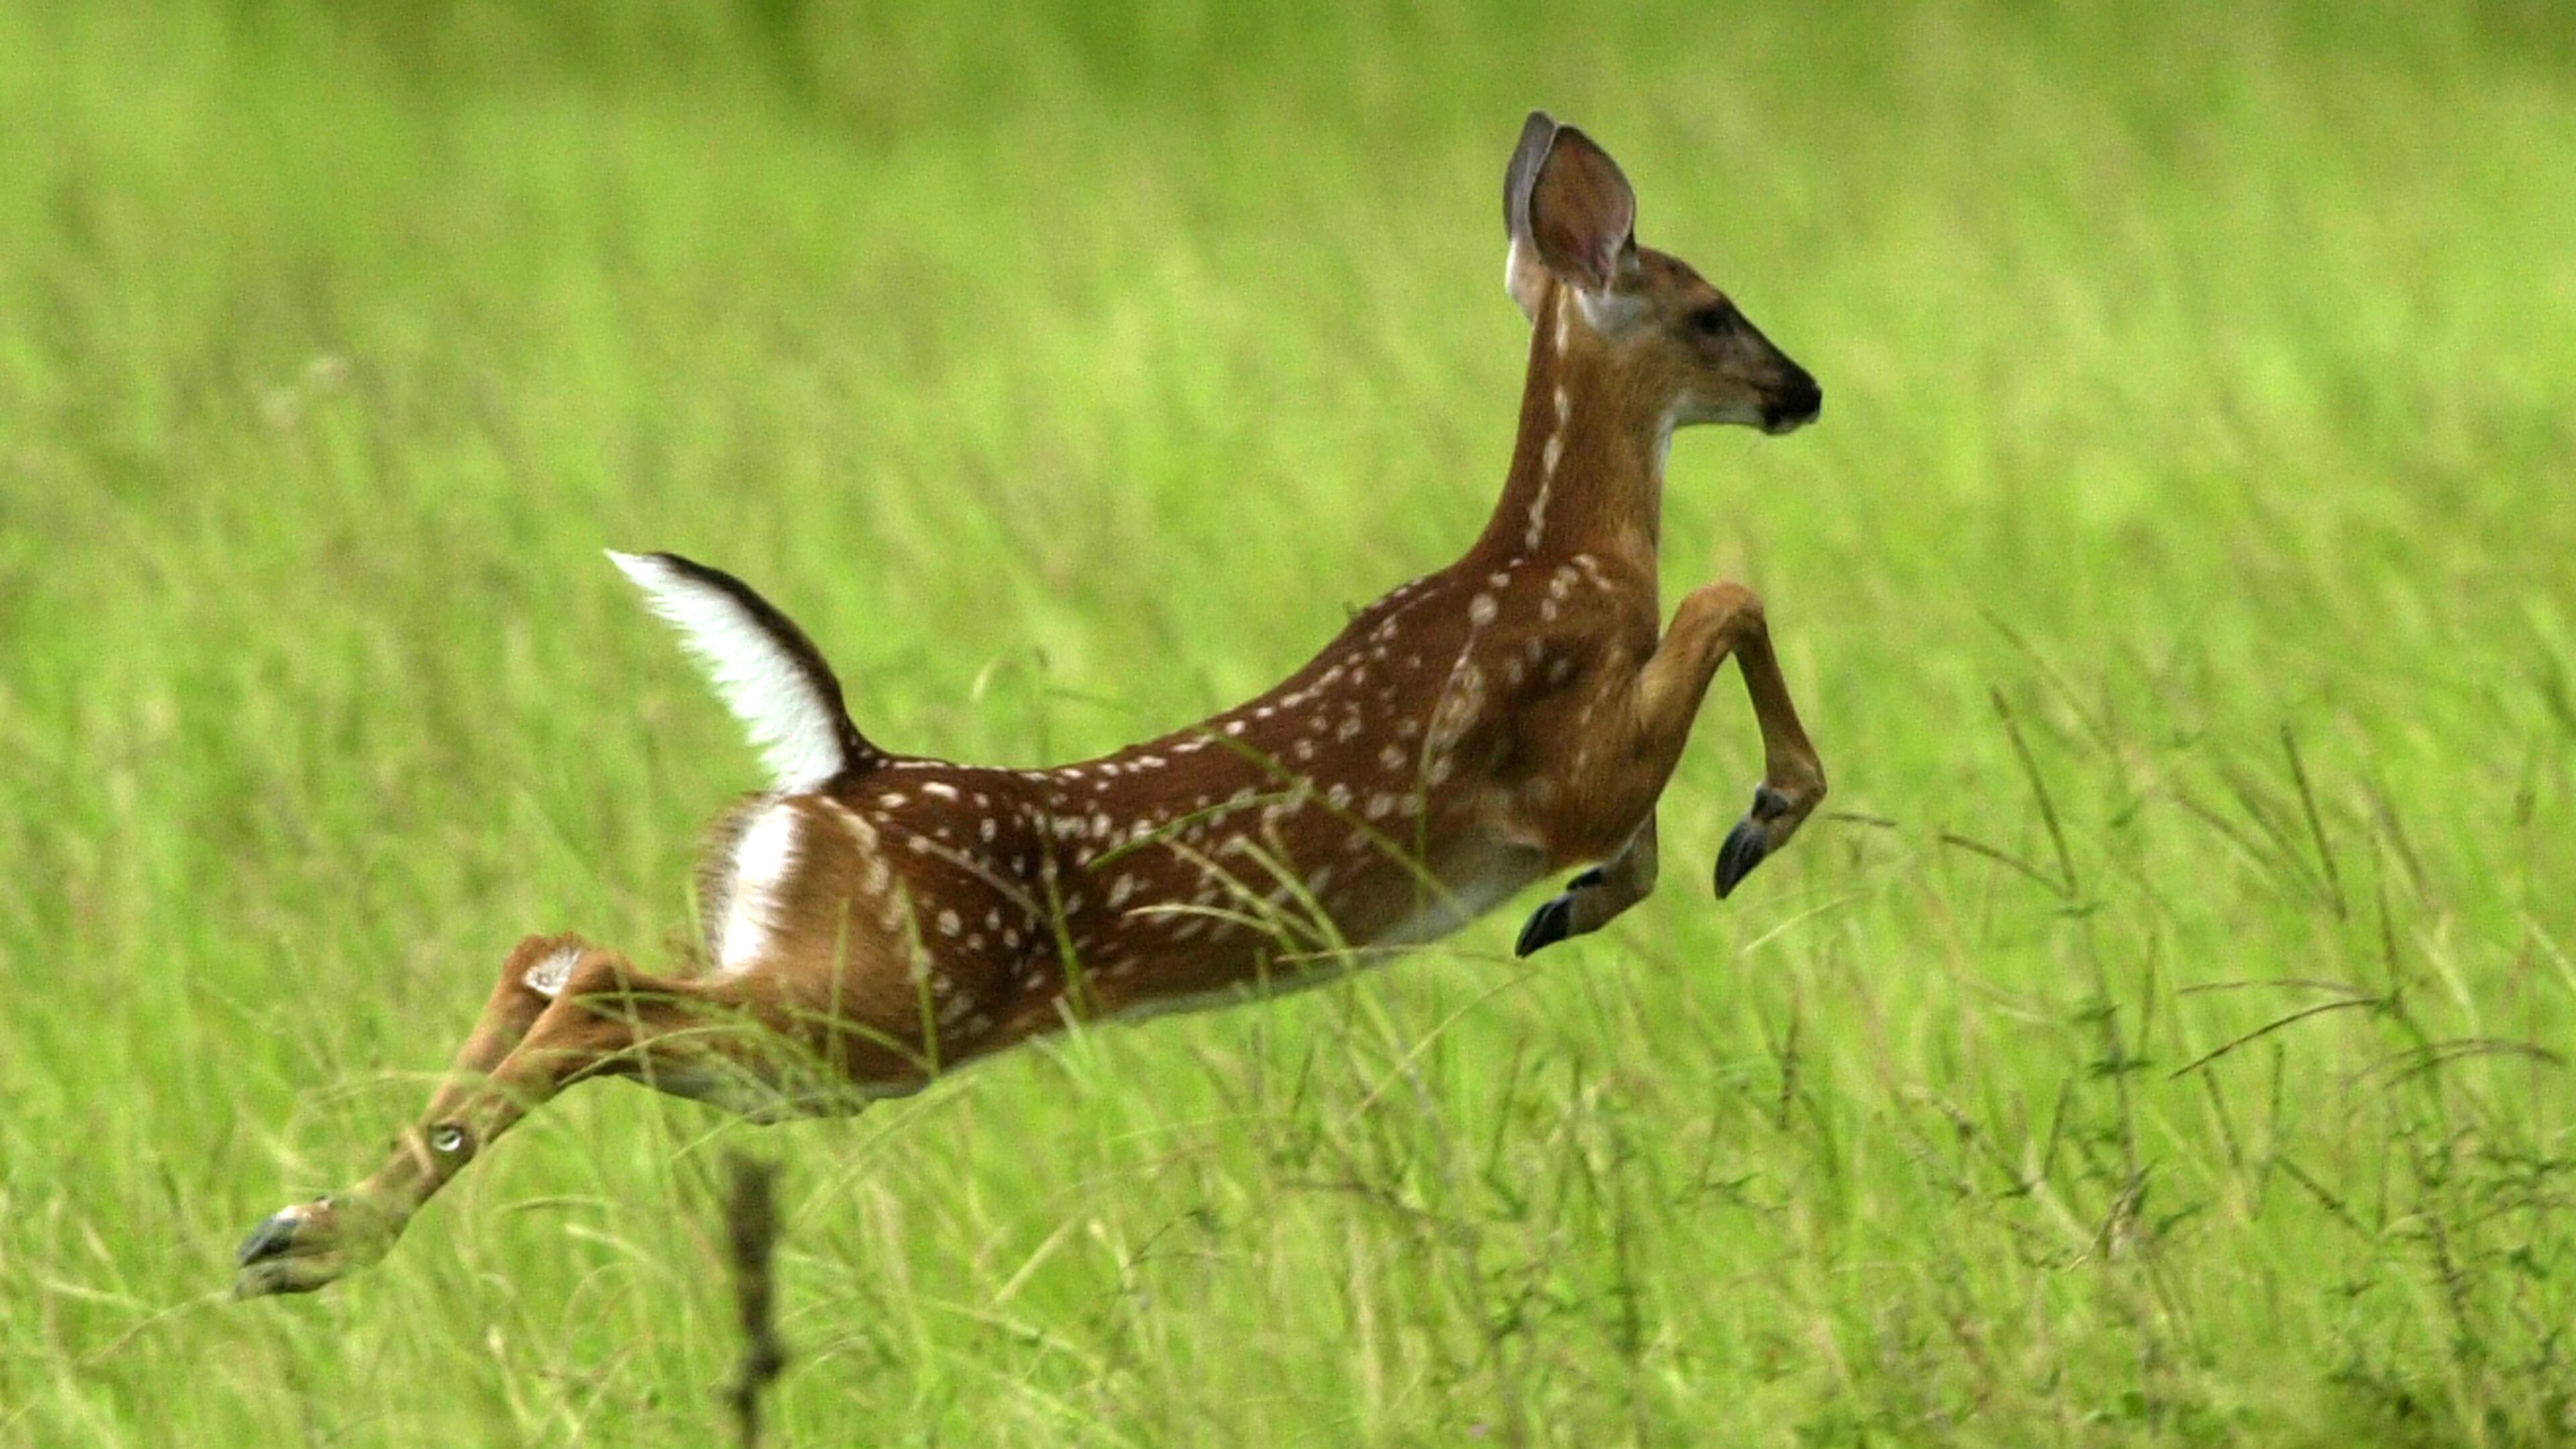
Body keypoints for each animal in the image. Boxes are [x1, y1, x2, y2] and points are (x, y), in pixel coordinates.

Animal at [235, 112, 1827, 1297]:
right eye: (1711, 308)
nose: (1801, 390)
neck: (1564, 555)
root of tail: (841, 767)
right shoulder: (1552, 769)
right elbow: (1725, 601)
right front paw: (1753, 822)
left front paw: (1600, 897)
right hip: (883, 1014)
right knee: (599, 985)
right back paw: (320, 1239)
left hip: (807, 1013)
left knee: (547, 951)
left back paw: (301, 1227)